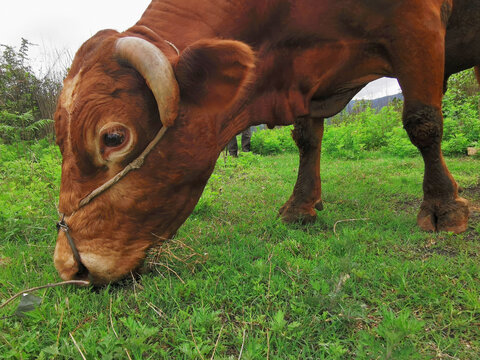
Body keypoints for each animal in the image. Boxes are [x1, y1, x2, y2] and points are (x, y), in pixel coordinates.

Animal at [53, 1, 480, 286]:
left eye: (113, 137)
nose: (70, 265)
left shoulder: (417, 26)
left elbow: (422, 122)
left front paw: (443, 207)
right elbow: (306, 139)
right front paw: (301, 206)